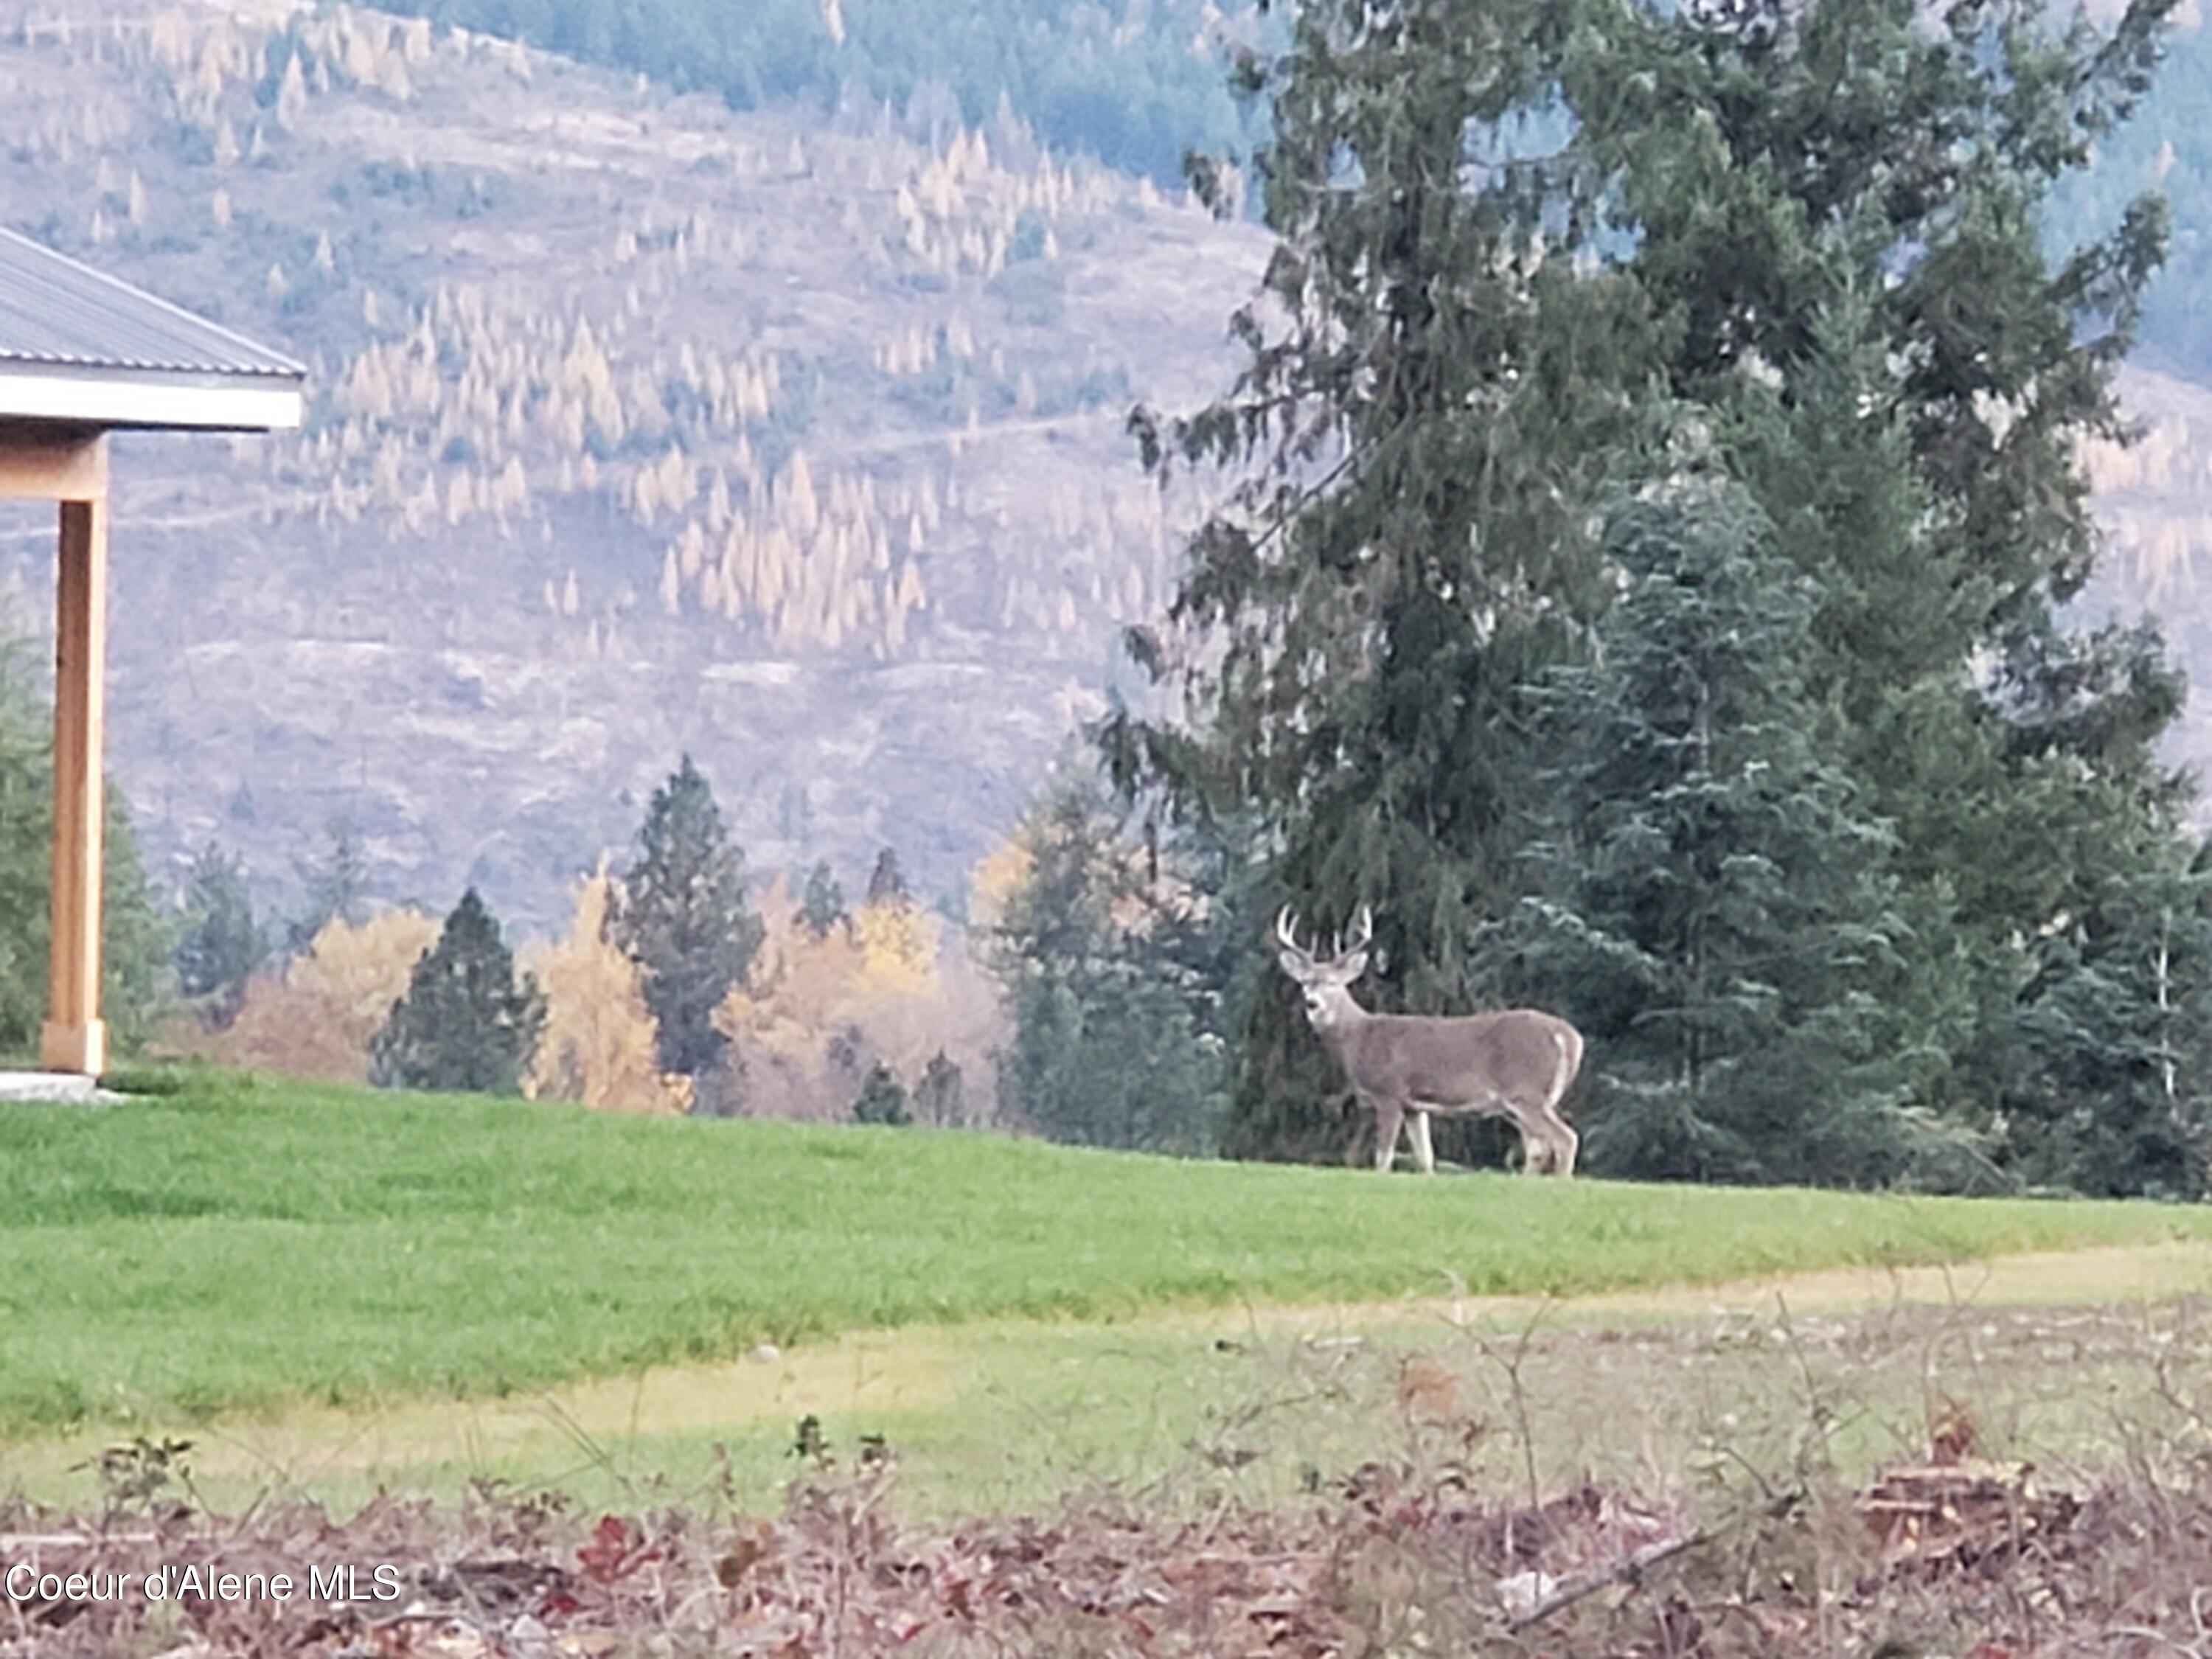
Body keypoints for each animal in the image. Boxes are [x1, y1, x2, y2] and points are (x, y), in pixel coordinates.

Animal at [1274, 911, 1584, 1186]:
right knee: (1538, 1148)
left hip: (1526, 1090)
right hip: (1520, 1102)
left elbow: (1383, 1158)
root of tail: (1569, 1037)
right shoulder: (1415, 1106)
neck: (1359, 1037)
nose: (1312, 1003)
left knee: (1565, 1138)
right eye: (1305, 983)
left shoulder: (1389, 1092)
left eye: (1332, 983)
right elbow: (1426, 1157)